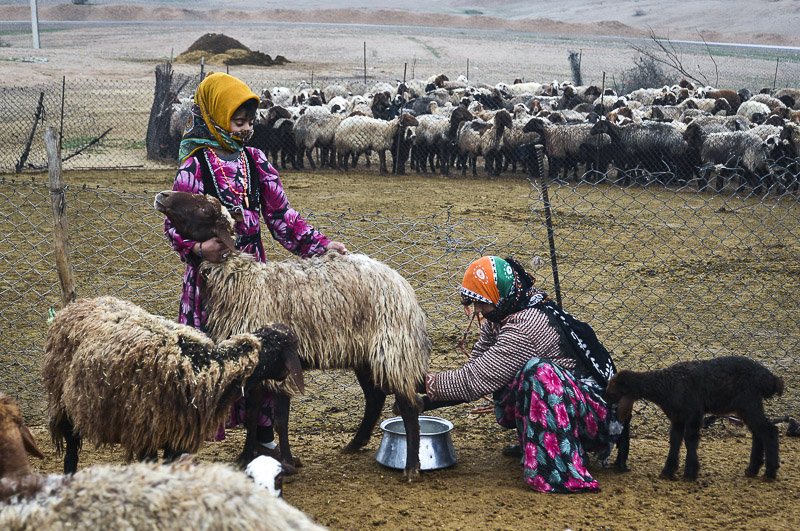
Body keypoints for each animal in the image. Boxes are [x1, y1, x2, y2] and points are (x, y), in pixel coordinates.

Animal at [43, 298, 304, 476]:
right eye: (283, 350)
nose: (286, 375)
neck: (199, 363)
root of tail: (73, 306)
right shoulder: (147, 431)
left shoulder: (176, 433)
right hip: (63, 403)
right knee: (71, 449)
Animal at [154, 192, 434, 482]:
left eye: (203, 207)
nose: (162, 196)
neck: (244, 283)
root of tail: (403, 286)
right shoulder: (256, 367)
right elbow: (253, 416)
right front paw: (245, 457)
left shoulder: (283, 366)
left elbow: (280, 420)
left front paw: (286, 463)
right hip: (366, 355)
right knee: (375, 398)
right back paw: (355, 444)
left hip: (393, 349)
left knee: (408, 404)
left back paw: (411, 468)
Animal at [608, 358, 780, 482]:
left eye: (613, 389)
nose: (605, 395)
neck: (665, 385)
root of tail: (771, 378)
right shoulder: (677, 417)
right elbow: (675, 441)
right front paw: (668, 471)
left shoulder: (694, 413)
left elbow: (690, 439)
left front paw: (690, 473)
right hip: (745, 406)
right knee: (758, 432)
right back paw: (752, 470)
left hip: (749, 401)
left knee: (769, 430)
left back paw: (769, 473)